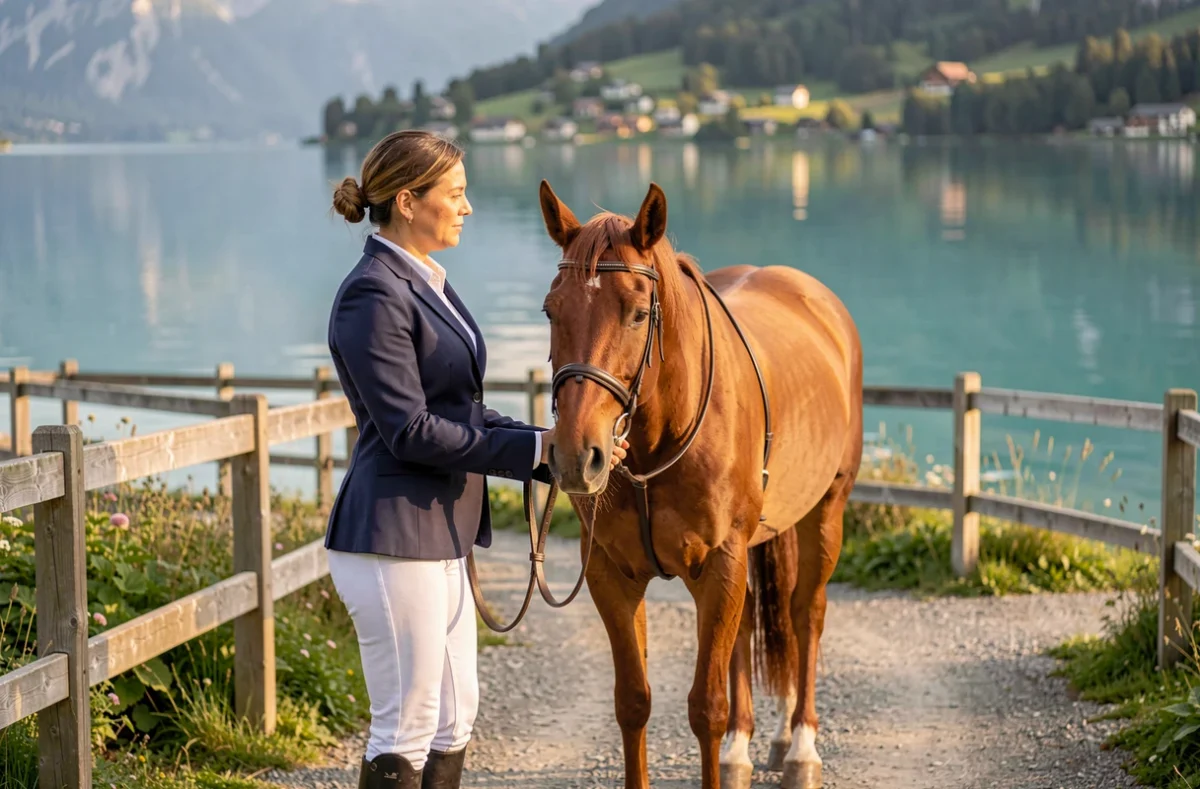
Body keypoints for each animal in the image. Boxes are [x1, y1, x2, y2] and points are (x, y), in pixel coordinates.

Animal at [536, 179, 864, 789]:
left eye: (638, 313)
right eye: (552, 310)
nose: (574, 455)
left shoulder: (720, 564)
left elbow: (706, 708)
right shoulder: (612, 576)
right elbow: (633, 701)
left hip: (826, 510)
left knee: (806, 613)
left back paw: (801, 744)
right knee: (756, 620)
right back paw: (752, 742)